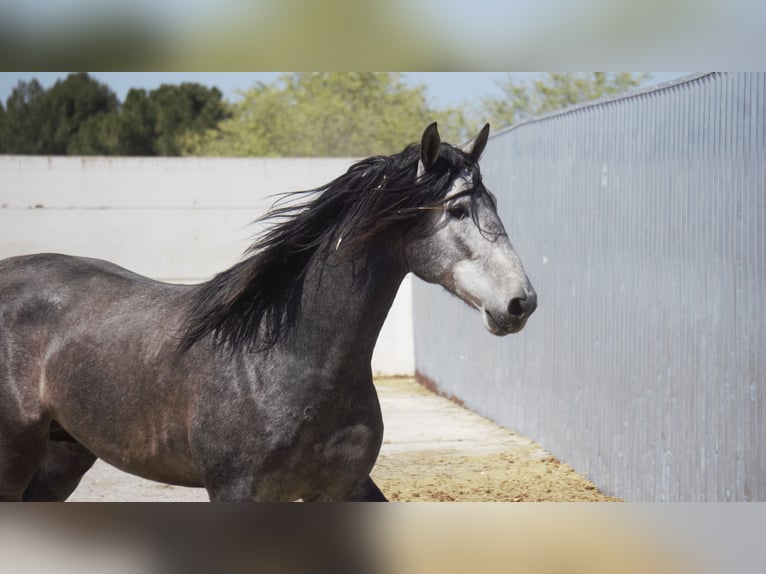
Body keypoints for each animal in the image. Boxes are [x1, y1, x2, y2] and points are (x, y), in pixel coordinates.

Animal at [0, 124, 536, 502]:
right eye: (457, 210)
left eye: (493, 203)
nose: (521, 302)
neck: (286, 361)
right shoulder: (236, 492)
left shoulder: (344, 489)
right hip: (15, 456)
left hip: (64, 454)